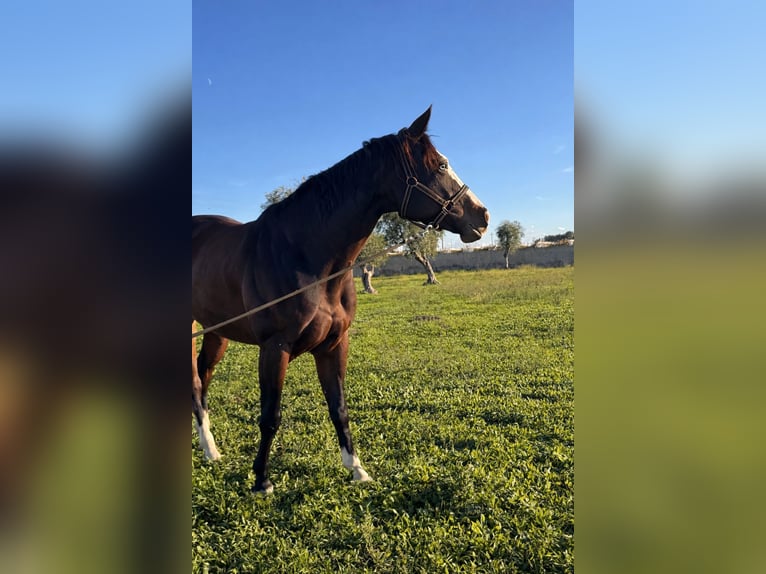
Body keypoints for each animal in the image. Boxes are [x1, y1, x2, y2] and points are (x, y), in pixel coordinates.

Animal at [192, 107, 489, 494]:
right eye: (440, 165)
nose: (482, 216)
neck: (306, 256)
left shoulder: (335, 344)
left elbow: (339, 408)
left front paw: (357, 469)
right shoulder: (275, 347)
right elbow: (270, 415)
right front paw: (261, 480)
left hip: (215, 332)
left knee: (203, 377)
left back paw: (210, 450)